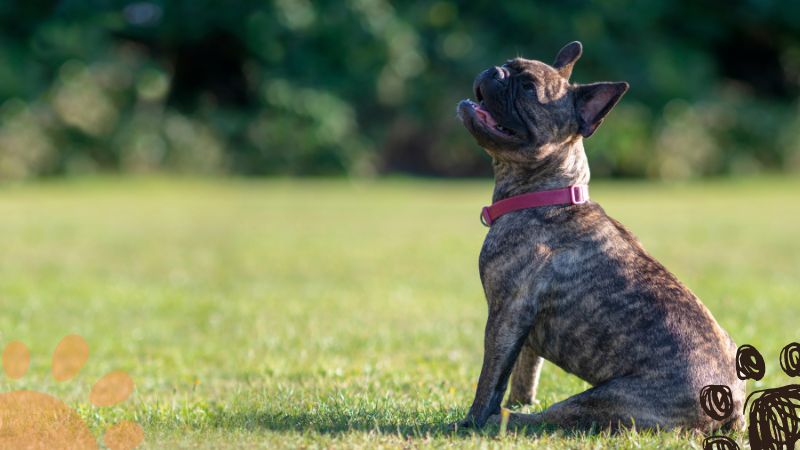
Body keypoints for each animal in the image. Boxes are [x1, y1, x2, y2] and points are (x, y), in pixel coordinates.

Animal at [454, 43, 748, 432]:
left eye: (529, 88)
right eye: (508, 64)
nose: (496, 71)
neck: (548, 195)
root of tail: (733, 408)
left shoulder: (505, 314)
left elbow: (491, 379)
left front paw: (471, 420)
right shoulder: (523, 330)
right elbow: (524, 371)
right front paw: (521, 398)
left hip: (598, 400)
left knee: (547, 418)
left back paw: (503, 420)